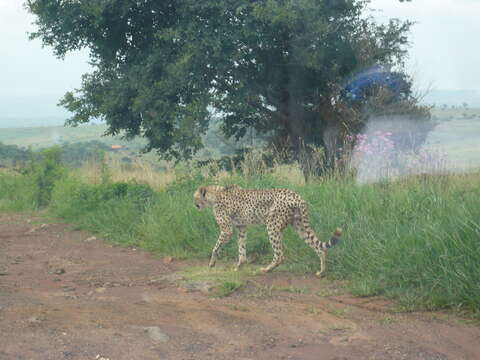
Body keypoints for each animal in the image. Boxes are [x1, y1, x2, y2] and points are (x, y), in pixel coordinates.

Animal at [193, 184, 344, 278]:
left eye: (195, 197)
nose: (195, 205)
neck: (214, 194)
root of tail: (296, 195)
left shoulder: (227, 229)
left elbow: (216, 247)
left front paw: (212, 263)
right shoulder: (241, 227)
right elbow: (241, 248)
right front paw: (240, 266)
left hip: (272, 226)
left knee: (279, 255)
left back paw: (265, 270)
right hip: (299, 226)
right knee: (319, 248)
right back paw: (322, 272)